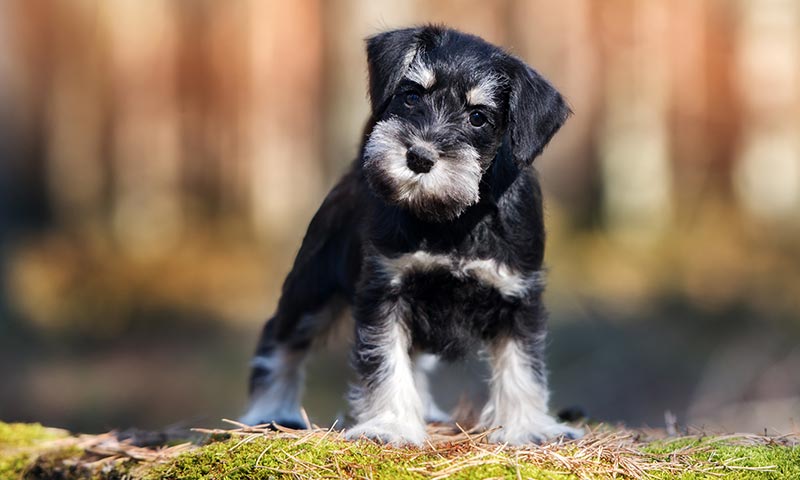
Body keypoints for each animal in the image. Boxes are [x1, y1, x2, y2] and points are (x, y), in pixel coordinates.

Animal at [239, 26, 580, 446]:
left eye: (478, 117)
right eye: (412, 95)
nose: (418, 156)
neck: (452, 220)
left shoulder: (518, 295)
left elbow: (523, 366)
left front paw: (530, 428)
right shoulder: (385, 291)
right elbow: (388, 362)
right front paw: (390, 425)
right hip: (313, 286)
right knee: (281, 338)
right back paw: (269, 411)